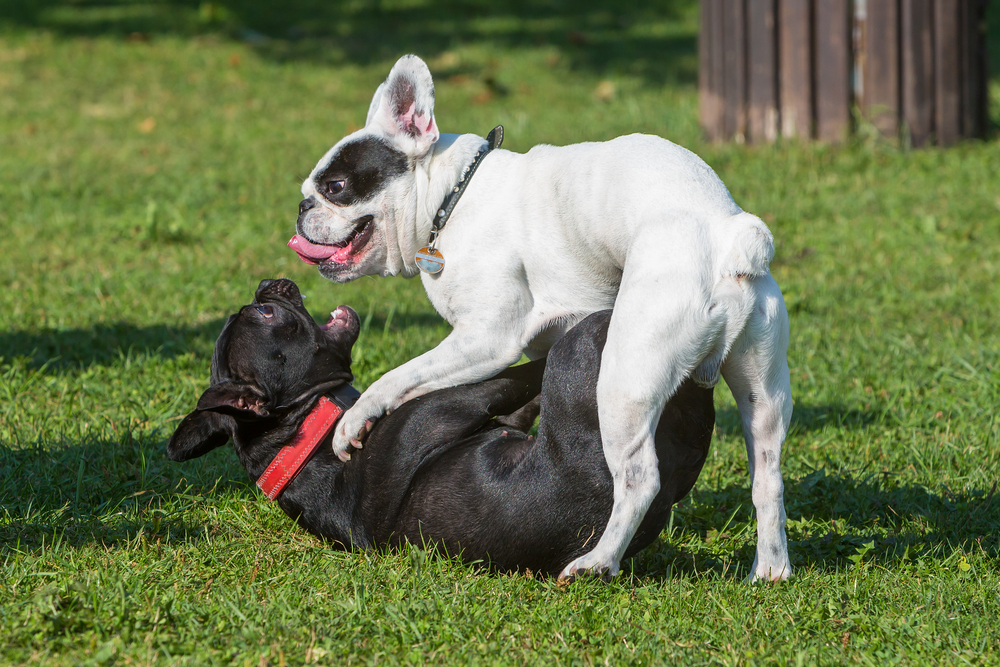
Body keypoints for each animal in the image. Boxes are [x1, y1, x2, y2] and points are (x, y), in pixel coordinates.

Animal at [174, 280, 720, 576]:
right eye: (266, 313)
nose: (268, 285)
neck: (303, 432)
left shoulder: (502, 413)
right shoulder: (461, 400)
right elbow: (515, 373)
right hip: (585, 350)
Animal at [286, 54, 792, 580]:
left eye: (336, 188)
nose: (301, 208)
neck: (453, 196)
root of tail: (728, 235)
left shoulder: (485, 340)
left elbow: (400, 376)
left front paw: (357, 419)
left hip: (625, 382)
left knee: (640, 478)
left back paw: (597, 563)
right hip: (762, 389)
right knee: (768, 479)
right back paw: (771, 569)